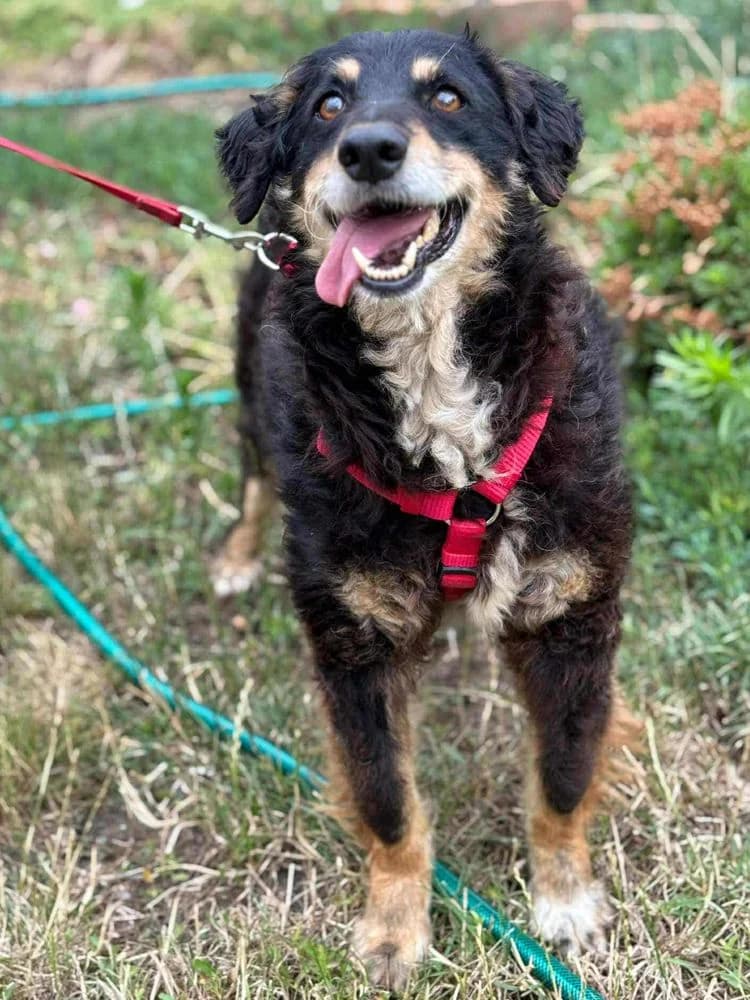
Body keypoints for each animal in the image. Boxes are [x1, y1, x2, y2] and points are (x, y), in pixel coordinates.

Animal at [213, 27, 636, 989]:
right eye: (327, 106)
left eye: (447, 98)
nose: (368, 148)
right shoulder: (352, 644)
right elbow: (388, 801)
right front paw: (394, 931)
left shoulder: (573, 615)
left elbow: (562, 775)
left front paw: (565, 903)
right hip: (251, 381)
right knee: (254, 473)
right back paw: (238, 555)